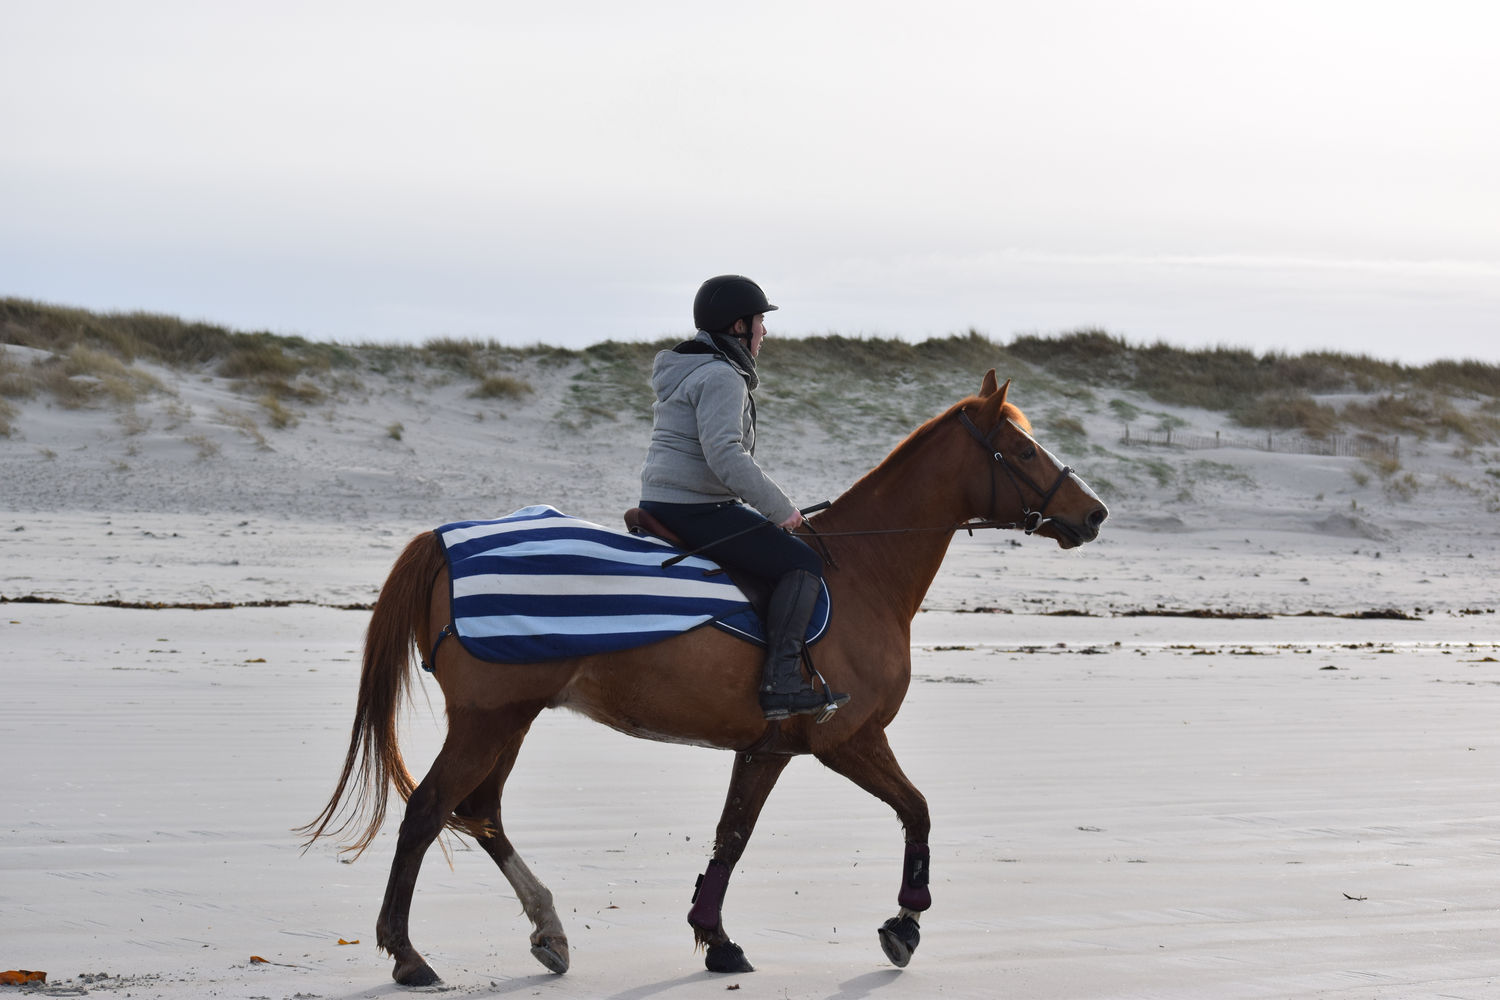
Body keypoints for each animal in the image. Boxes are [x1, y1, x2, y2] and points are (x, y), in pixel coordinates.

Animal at [298, 370, 1110, 983]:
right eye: (1022, 450)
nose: (1096, 513)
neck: (861, 572)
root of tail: (445, 540)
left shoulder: (768, 749)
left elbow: (731, 837)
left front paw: (715, 938)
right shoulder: (847, 740)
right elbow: (918, 811)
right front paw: (905, 922)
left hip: (510, 720)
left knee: (481, 811)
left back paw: (548, 930)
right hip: (490, 720)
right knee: (429, 811)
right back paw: (409, 955)